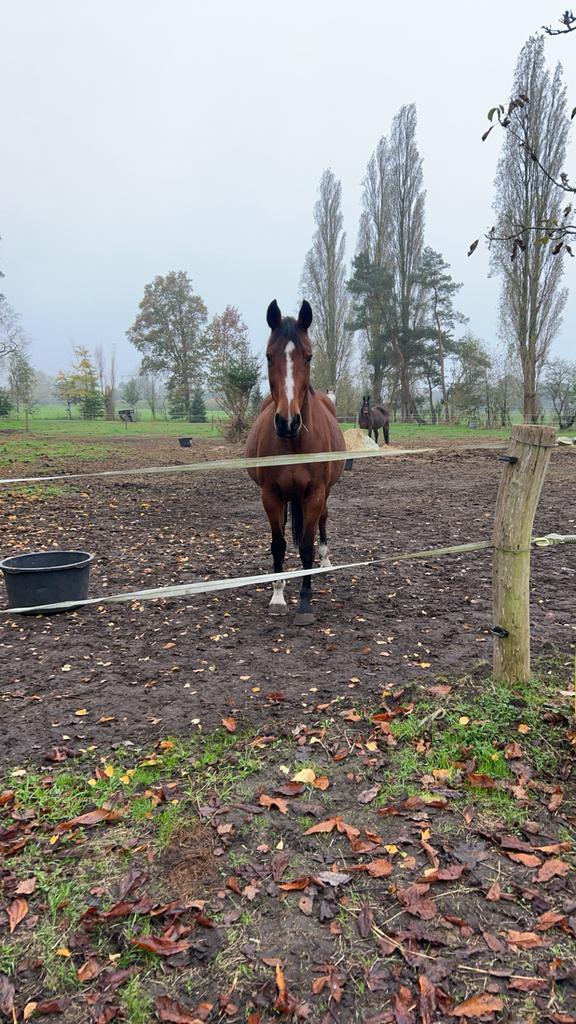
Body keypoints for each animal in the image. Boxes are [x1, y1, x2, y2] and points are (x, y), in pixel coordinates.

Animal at [246, 300, 346, 625]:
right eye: (268, 356)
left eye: (309, 355)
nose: (287, 422)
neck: (294, 443)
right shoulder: (271, 495)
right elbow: (279, 545)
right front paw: (278, 596)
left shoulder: (314, 493)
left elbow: (305, 546)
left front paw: (305, 602)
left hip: (325, 492)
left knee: (323, 521)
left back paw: (325, 561)